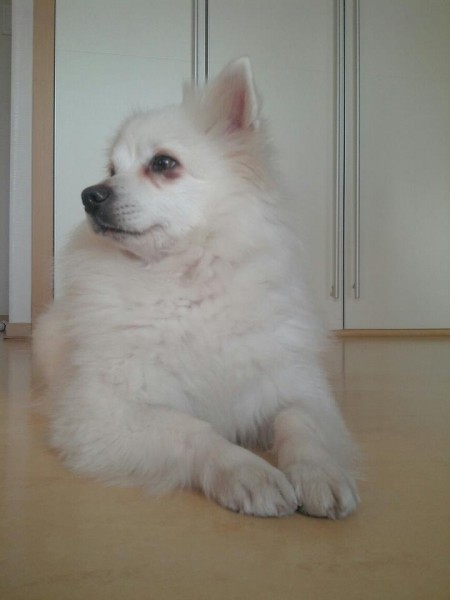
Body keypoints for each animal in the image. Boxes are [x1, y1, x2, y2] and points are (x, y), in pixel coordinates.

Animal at [34, 58, 359, 518]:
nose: (88, 195)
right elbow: (193, 430)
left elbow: (300, 424)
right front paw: (248, 472)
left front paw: (319, 472)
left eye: (163, 163)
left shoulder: (296, 388)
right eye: (112, 171)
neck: (184, 281)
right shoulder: (105, 412)